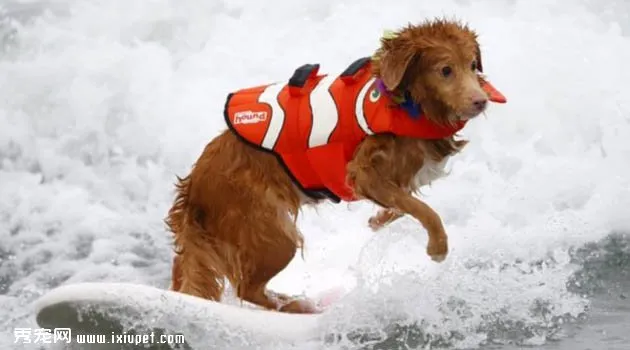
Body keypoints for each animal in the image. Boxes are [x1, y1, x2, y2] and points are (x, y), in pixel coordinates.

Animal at [165, 18, 506, 314]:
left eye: (472, 65)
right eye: (445, 70)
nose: (480, 101)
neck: (409, 102)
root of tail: (192, 190)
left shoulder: (396, 179)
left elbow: (401, 203)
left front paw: (378, 220)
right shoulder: (363, 172)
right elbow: (423, 209)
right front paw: (438, 246)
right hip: (273, 235)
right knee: (247, 288)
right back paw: (299, 305)